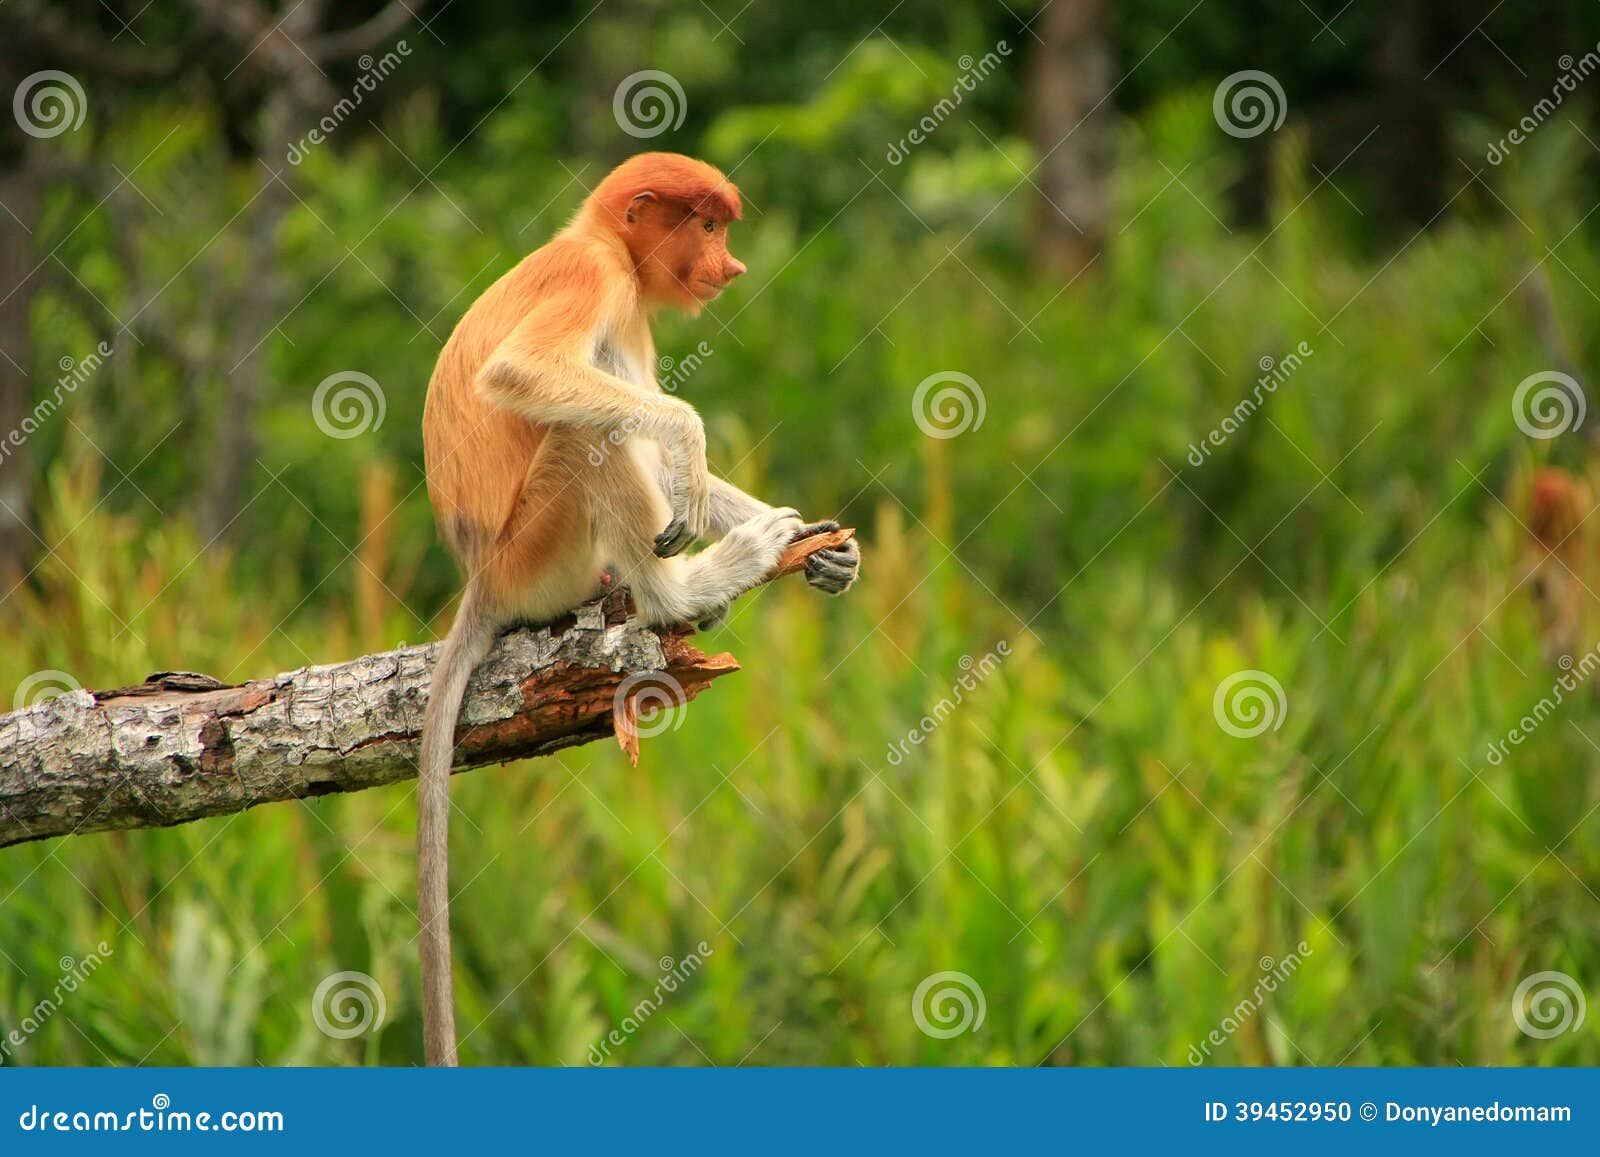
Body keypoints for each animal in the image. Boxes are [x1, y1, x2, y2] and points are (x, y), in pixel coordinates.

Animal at [419, 153, 857, 1068]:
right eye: (709, 225)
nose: (733, 265)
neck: (602, 243)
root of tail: (482, 576)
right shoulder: (593, 279)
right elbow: (521, 374)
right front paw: (699, 454)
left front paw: (821, 545)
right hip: (541, 550)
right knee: (589, 432)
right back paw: (679, 591)